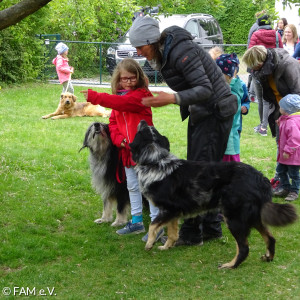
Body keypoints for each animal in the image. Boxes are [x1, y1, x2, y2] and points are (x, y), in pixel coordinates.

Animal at [129, 120, 298, 268]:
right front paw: (166, 247)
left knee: (244, 248)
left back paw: (230, 265)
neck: (156, 161)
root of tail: (261, 178)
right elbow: (172, 233)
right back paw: (268, 257)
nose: (143, 120)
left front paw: (149, 244)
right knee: (270, 238)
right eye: (150, 128)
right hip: (253, 217)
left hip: (234, 218)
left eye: (142, 130)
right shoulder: (173, 212)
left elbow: (153, 226)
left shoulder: (169, 209)